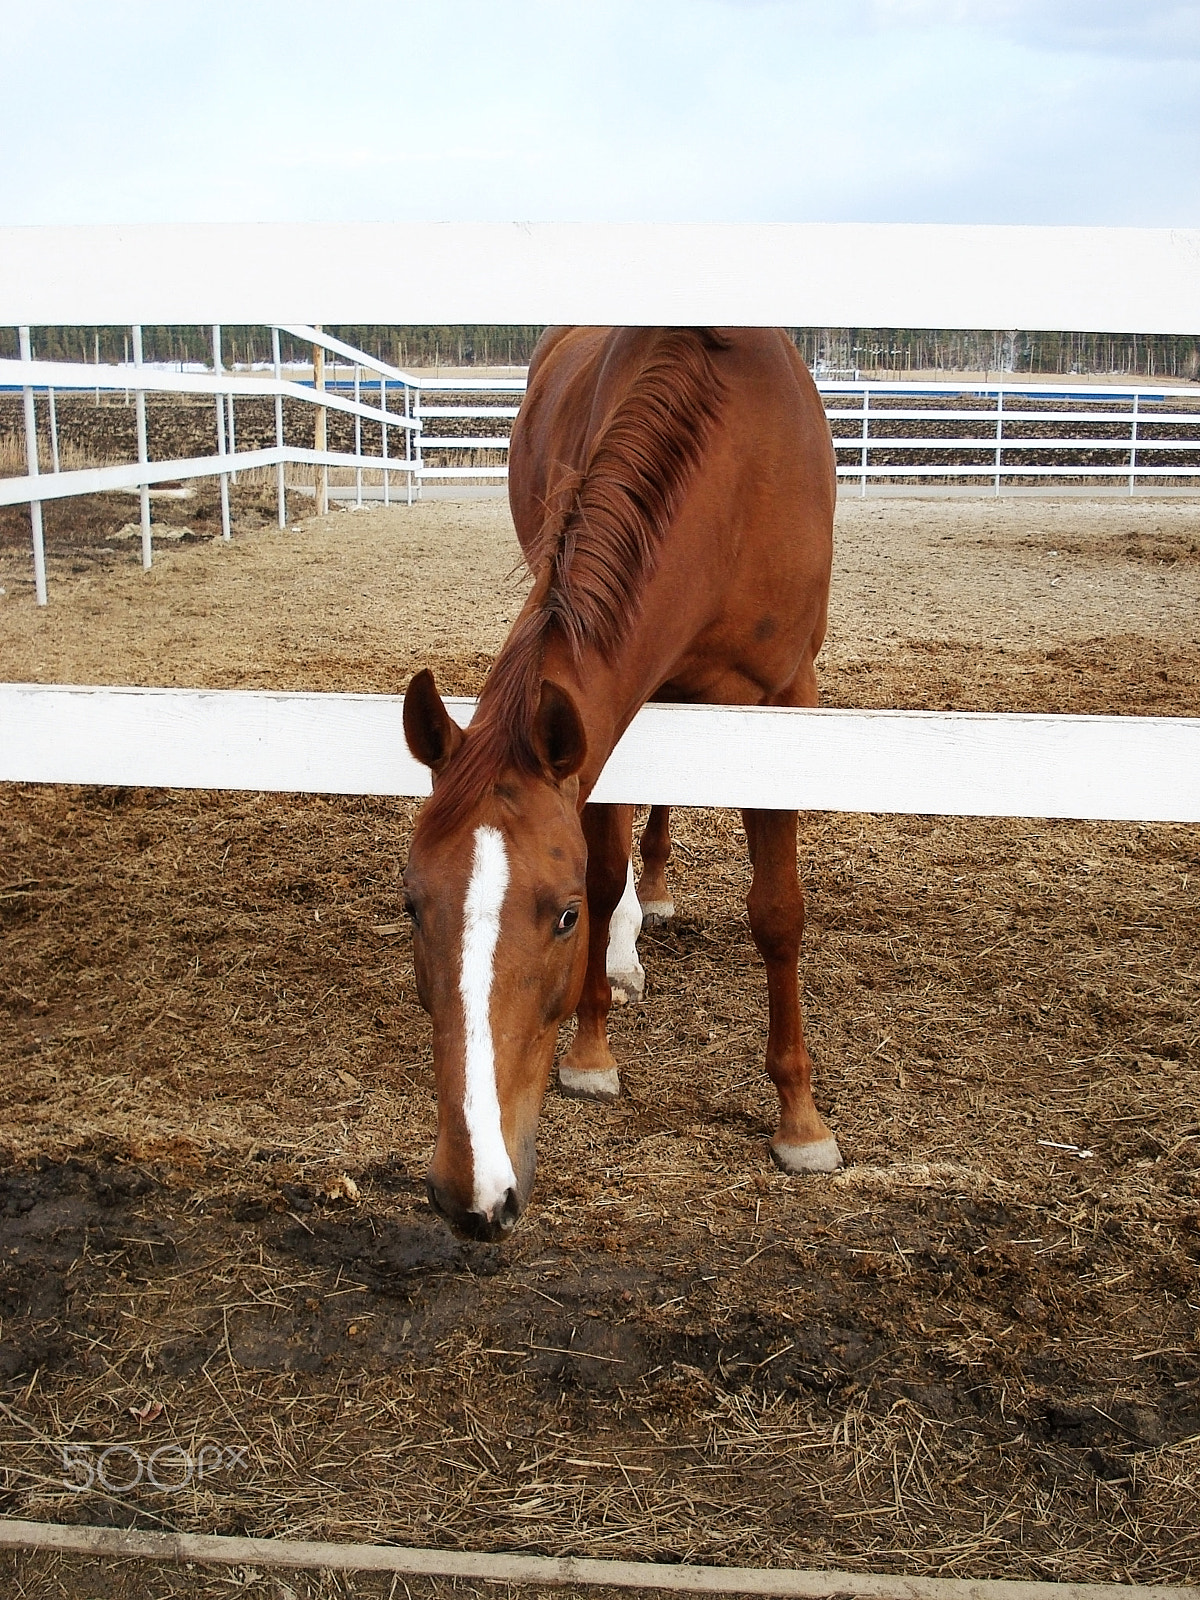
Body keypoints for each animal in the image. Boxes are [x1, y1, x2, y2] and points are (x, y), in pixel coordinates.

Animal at [400, 324, 838, 1241]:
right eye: (412, 905)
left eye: (560, 919)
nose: (471, 1195)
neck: (733, 474)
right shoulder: (601, 726)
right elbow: (606, 871)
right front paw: (593, 1048)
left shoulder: (786, 698)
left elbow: (778, 912)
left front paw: (800, 1121)